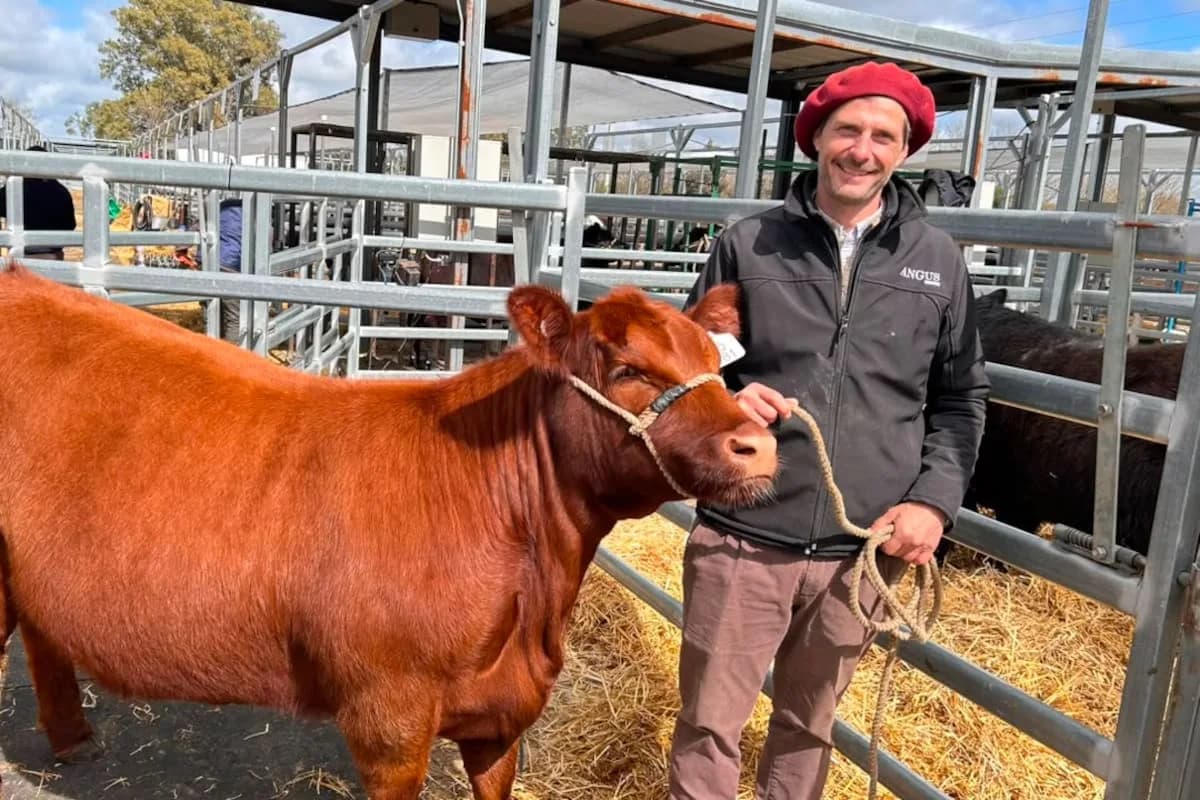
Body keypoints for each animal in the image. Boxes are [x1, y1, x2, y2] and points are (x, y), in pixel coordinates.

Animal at [0, 264, 777, 800]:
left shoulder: (502, 716)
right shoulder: (388, 720)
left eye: (718, 364)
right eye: (625, 368)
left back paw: (75, 741)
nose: (760, 443)